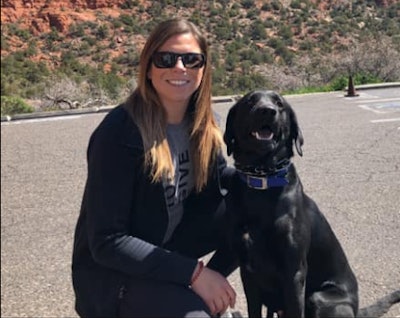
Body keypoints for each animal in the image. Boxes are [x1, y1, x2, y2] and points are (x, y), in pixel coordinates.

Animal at [223, 90, 398, 318]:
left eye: (279, 103)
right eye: (250, 101)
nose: (267, 111)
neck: (261, 179)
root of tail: (356, 308)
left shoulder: (294, 272)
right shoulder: (248, 272)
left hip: (319, 298)